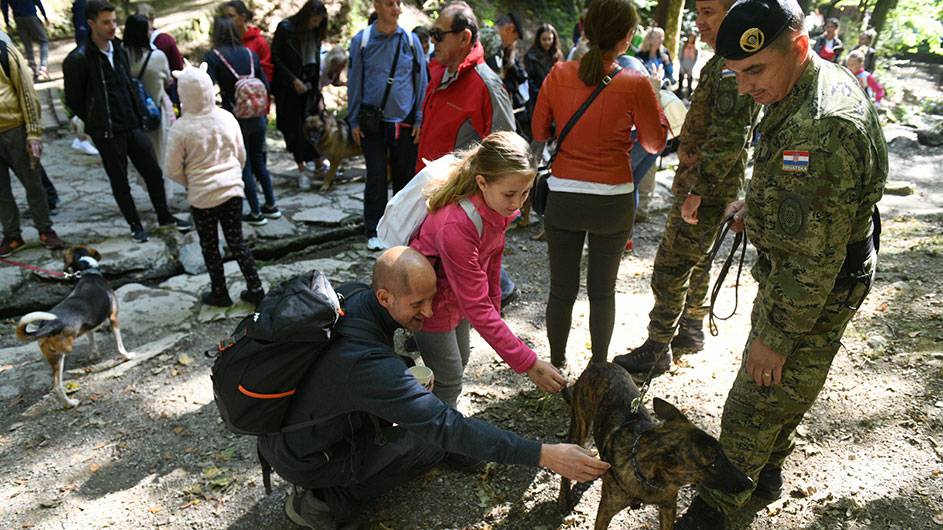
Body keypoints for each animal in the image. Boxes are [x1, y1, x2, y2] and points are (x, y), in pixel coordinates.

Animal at [560, 364, 752, 528]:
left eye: (723, 453)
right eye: (713, 464)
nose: (750, 482)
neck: (650, 478)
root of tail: (598, 364)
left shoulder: (668, 507)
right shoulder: (605, 512)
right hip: (580, 426)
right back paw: (564, 498)